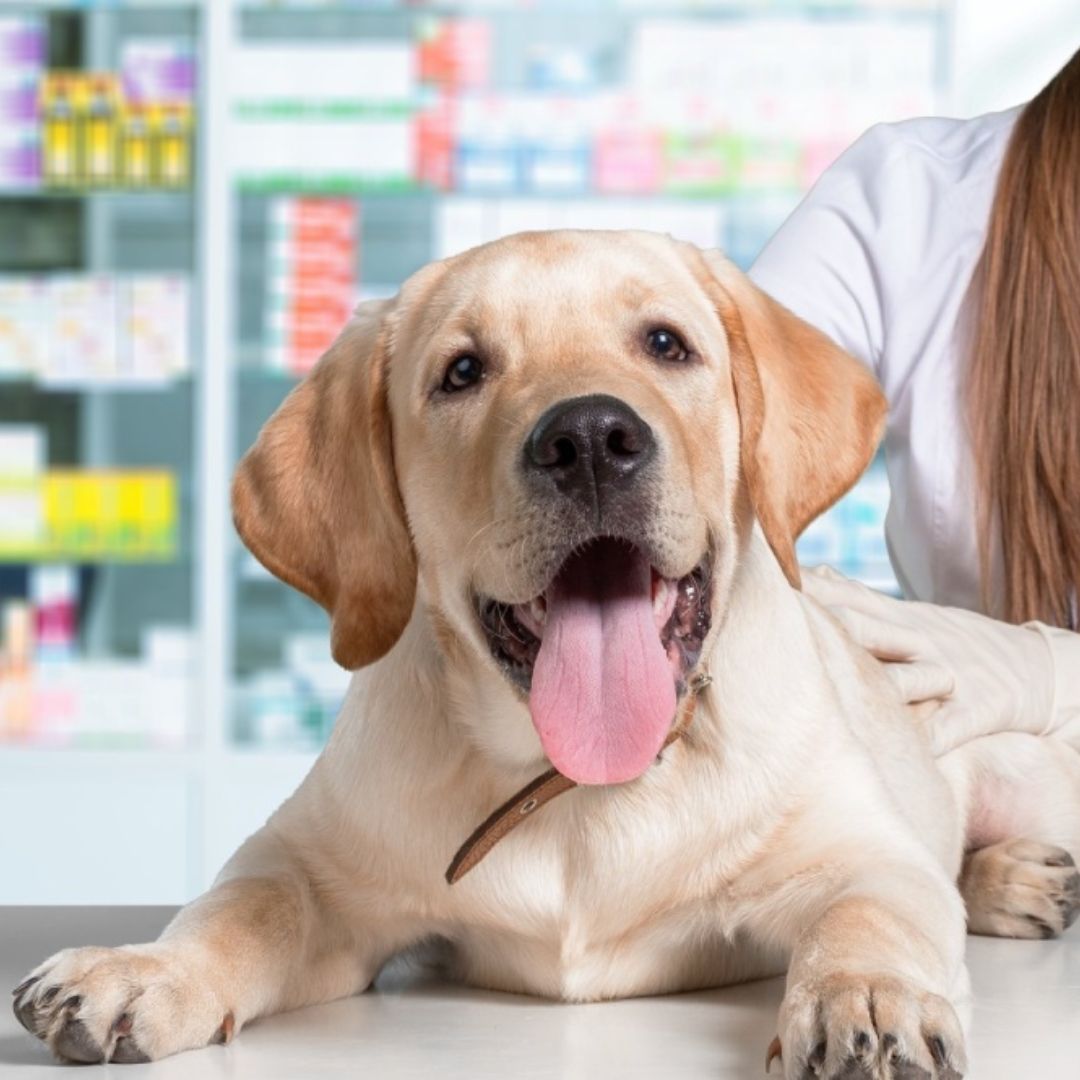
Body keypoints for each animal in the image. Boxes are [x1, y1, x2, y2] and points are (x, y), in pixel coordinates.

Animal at [10, 234, 1080, 1080]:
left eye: (666, 344)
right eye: (462, 371)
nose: (591, 438)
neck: (578, 788)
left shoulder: (860, 855)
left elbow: (871, 917)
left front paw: (866, 1000)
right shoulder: (316, 866)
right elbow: (243, 904)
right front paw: (146, 969)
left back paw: (1015, 875)